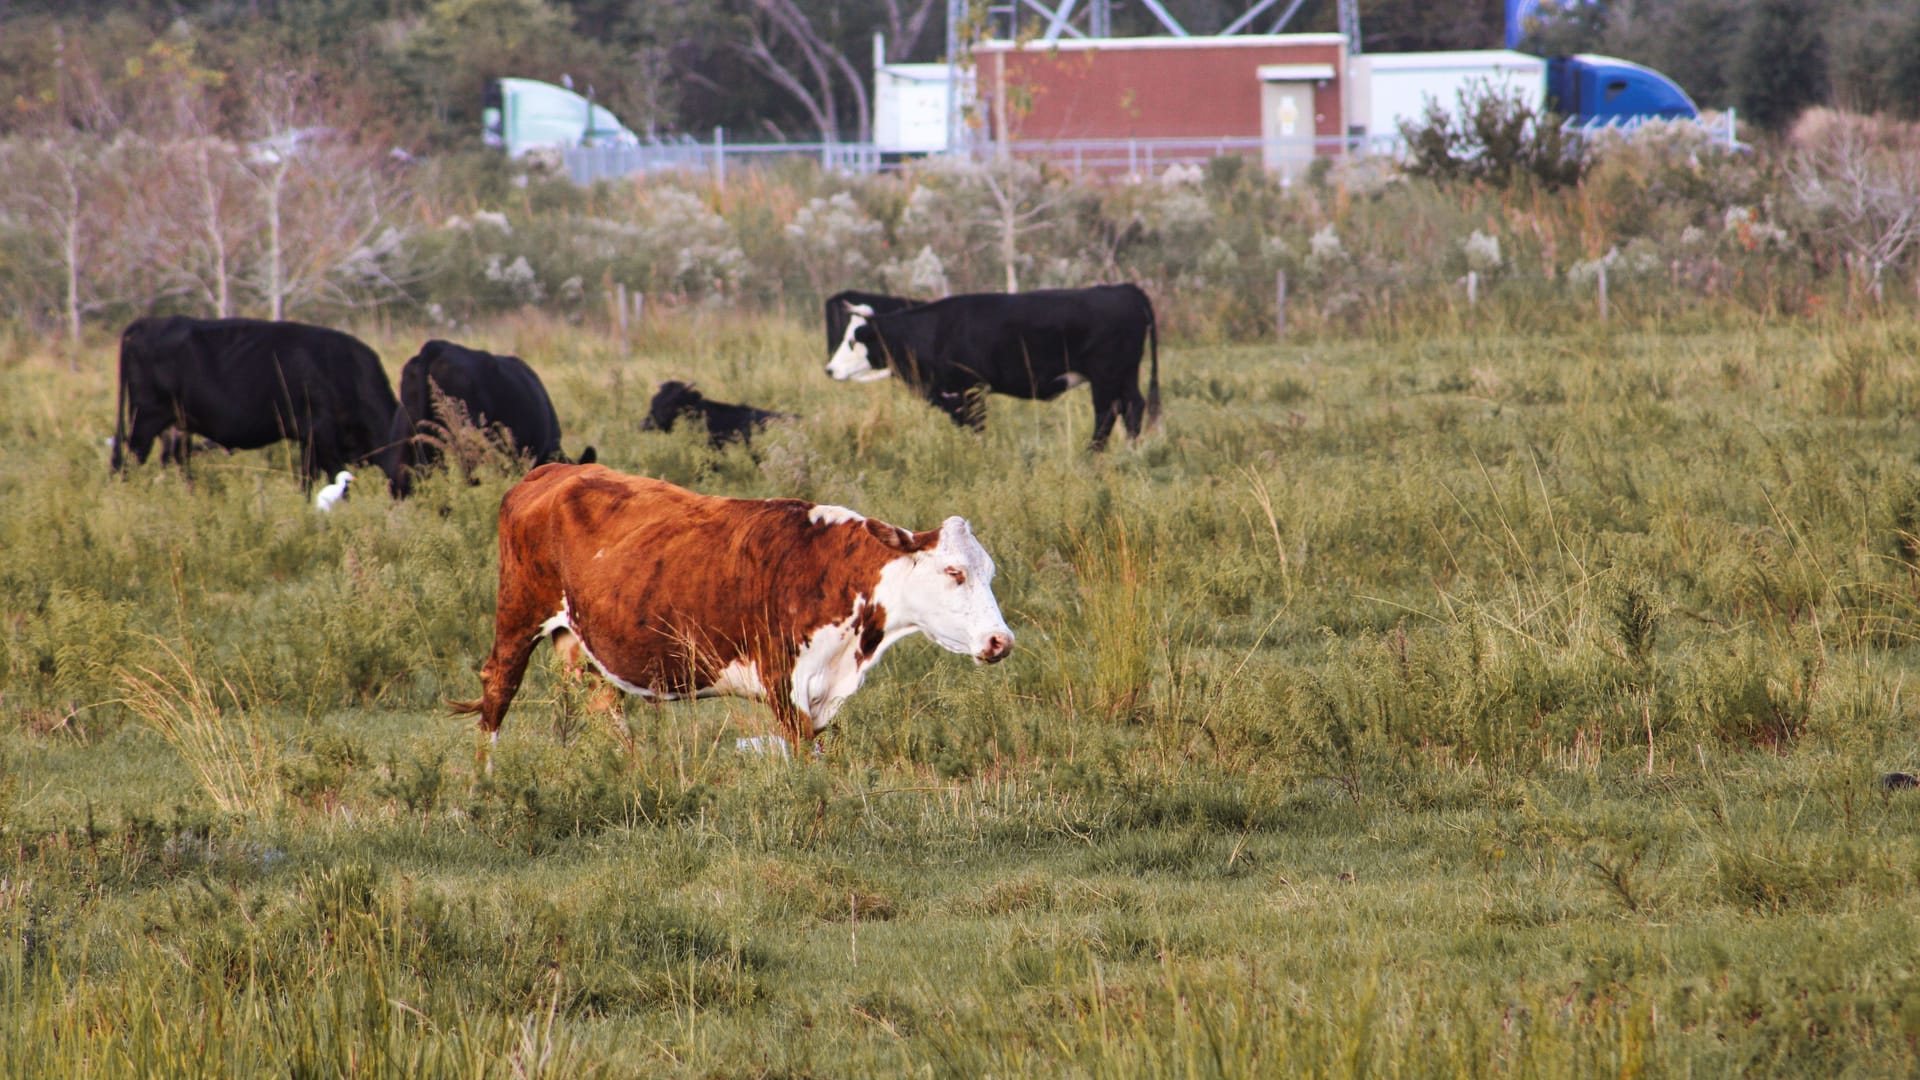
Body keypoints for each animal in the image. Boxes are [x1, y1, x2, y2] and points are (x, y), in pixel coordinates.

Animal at [112, 313, 397, 486]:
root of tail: (147, 323)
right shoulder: (323, 436)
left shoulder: (309, 442)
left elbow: (307, 480)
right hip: (144, 421)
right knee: (127, 462)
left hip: (176, 427)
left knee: (176, 463)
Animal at [455, 461, 1013, 749]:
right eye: (954, 572)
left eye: (989, 573)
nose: (1001, 641)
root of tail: (555, 469)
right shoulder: (785, 687)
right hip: (518, 615)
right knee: (497, 692)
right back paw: (486, 790)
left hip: (582, 642)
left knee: (603, 706)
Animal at [821, 284, 1152, 447]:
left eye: (852, 340)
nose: (829, 370)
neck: (934, 331)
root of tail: (1123, 288)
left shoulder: (970, 390)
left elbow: (977, 428)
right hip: (1126, 374)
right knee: (1133, 407)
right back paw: (1131, 452)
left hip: (1106, 376)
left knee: (1107, 414)